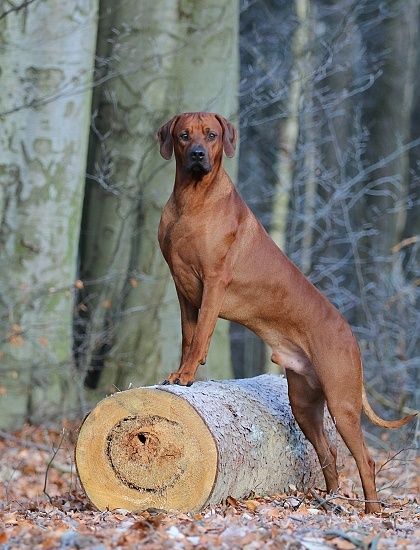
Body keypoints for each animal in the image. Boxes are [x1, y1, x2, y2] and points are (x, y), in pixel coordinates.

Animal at [157, 111, 414, 512]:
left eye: (211, 135)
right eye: (184, 136)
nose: (198, 154)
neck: (193, 200)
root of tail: (351, 335)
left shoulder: (213, 283)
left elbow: (199, 337)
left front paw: (185, 376)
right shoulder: (184, 290)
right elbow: (187, 337)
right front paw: (181, 371)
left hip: (342, 401)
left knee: (365, 459)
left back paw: (371, 510)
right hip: (304, 403)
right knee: (328, 453)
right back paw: (331, 500)